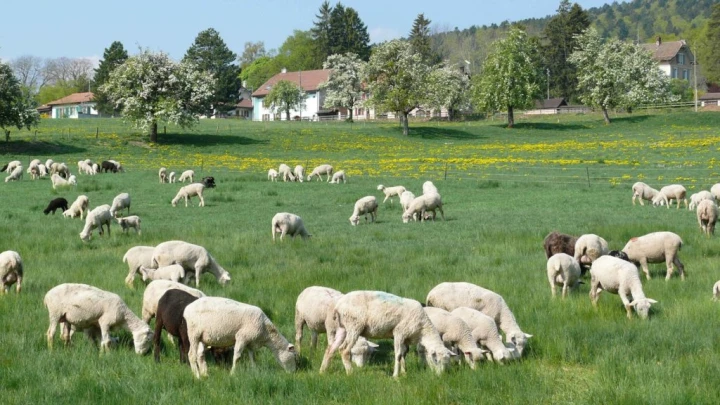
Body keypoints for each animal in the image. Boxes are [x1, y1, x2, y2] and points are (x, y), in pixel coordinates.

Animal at [319, 290, 455, 377]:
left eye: (447, 362)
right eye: (436, 360)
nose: (440, 376)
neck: (422, 329)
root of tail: (338, 305)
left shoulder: (405, 338)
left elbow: (404, 354)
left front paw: (404, 372)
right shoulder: (399, 332)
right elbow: (398, 355)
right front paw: (395, 376)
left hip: (342, 328)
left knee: (330, 349)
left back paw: (322, 371)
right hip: (354, 325)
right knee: (344, 350)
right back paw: (350, 373)